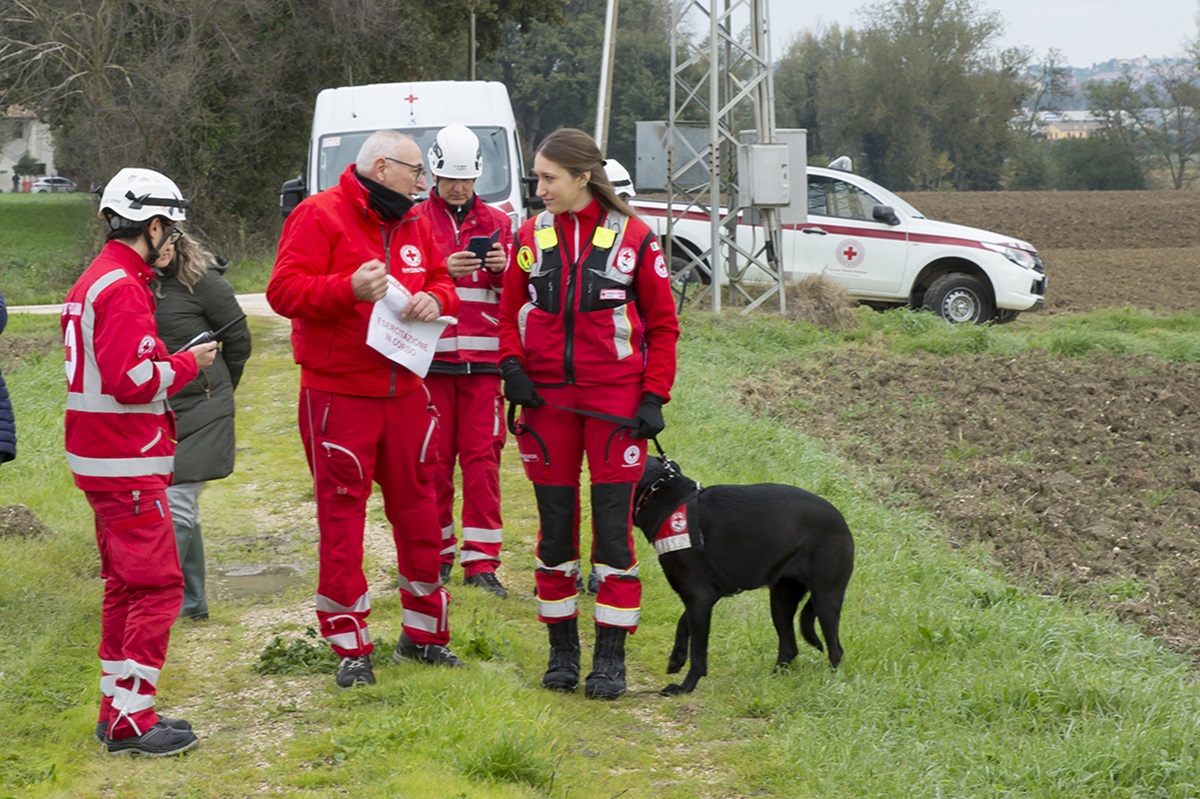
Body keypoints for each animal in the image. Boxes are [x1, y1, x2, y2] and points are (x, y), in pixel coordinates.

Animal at [638, 453, 854, 691]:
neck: (665, 497)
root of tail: (842, 522)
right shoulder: (705, 597)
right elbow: (683, 623)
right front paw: (676, 659)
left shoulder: (699, 597)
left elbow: (698, 653)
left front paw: (685, 687)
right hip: (782, 600)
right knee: (790, 647)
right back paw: (772, 680)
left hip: (825, 599)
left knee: (836, 651)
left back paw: (831, 685)